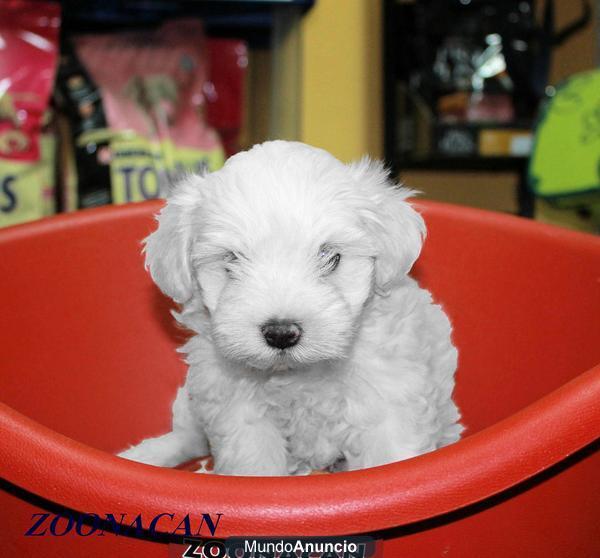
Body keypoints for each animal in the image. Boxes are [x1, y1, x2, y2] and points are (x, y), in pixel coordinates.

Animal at [118, 141, 464, 476]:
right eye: (231, 259)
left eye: (331, 257)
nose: (281, 333)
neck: (300, 373)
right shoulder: (239, 411)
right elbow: (255, 463)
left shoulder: (387, 397)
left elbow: (389, 453)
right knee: (187, 436)